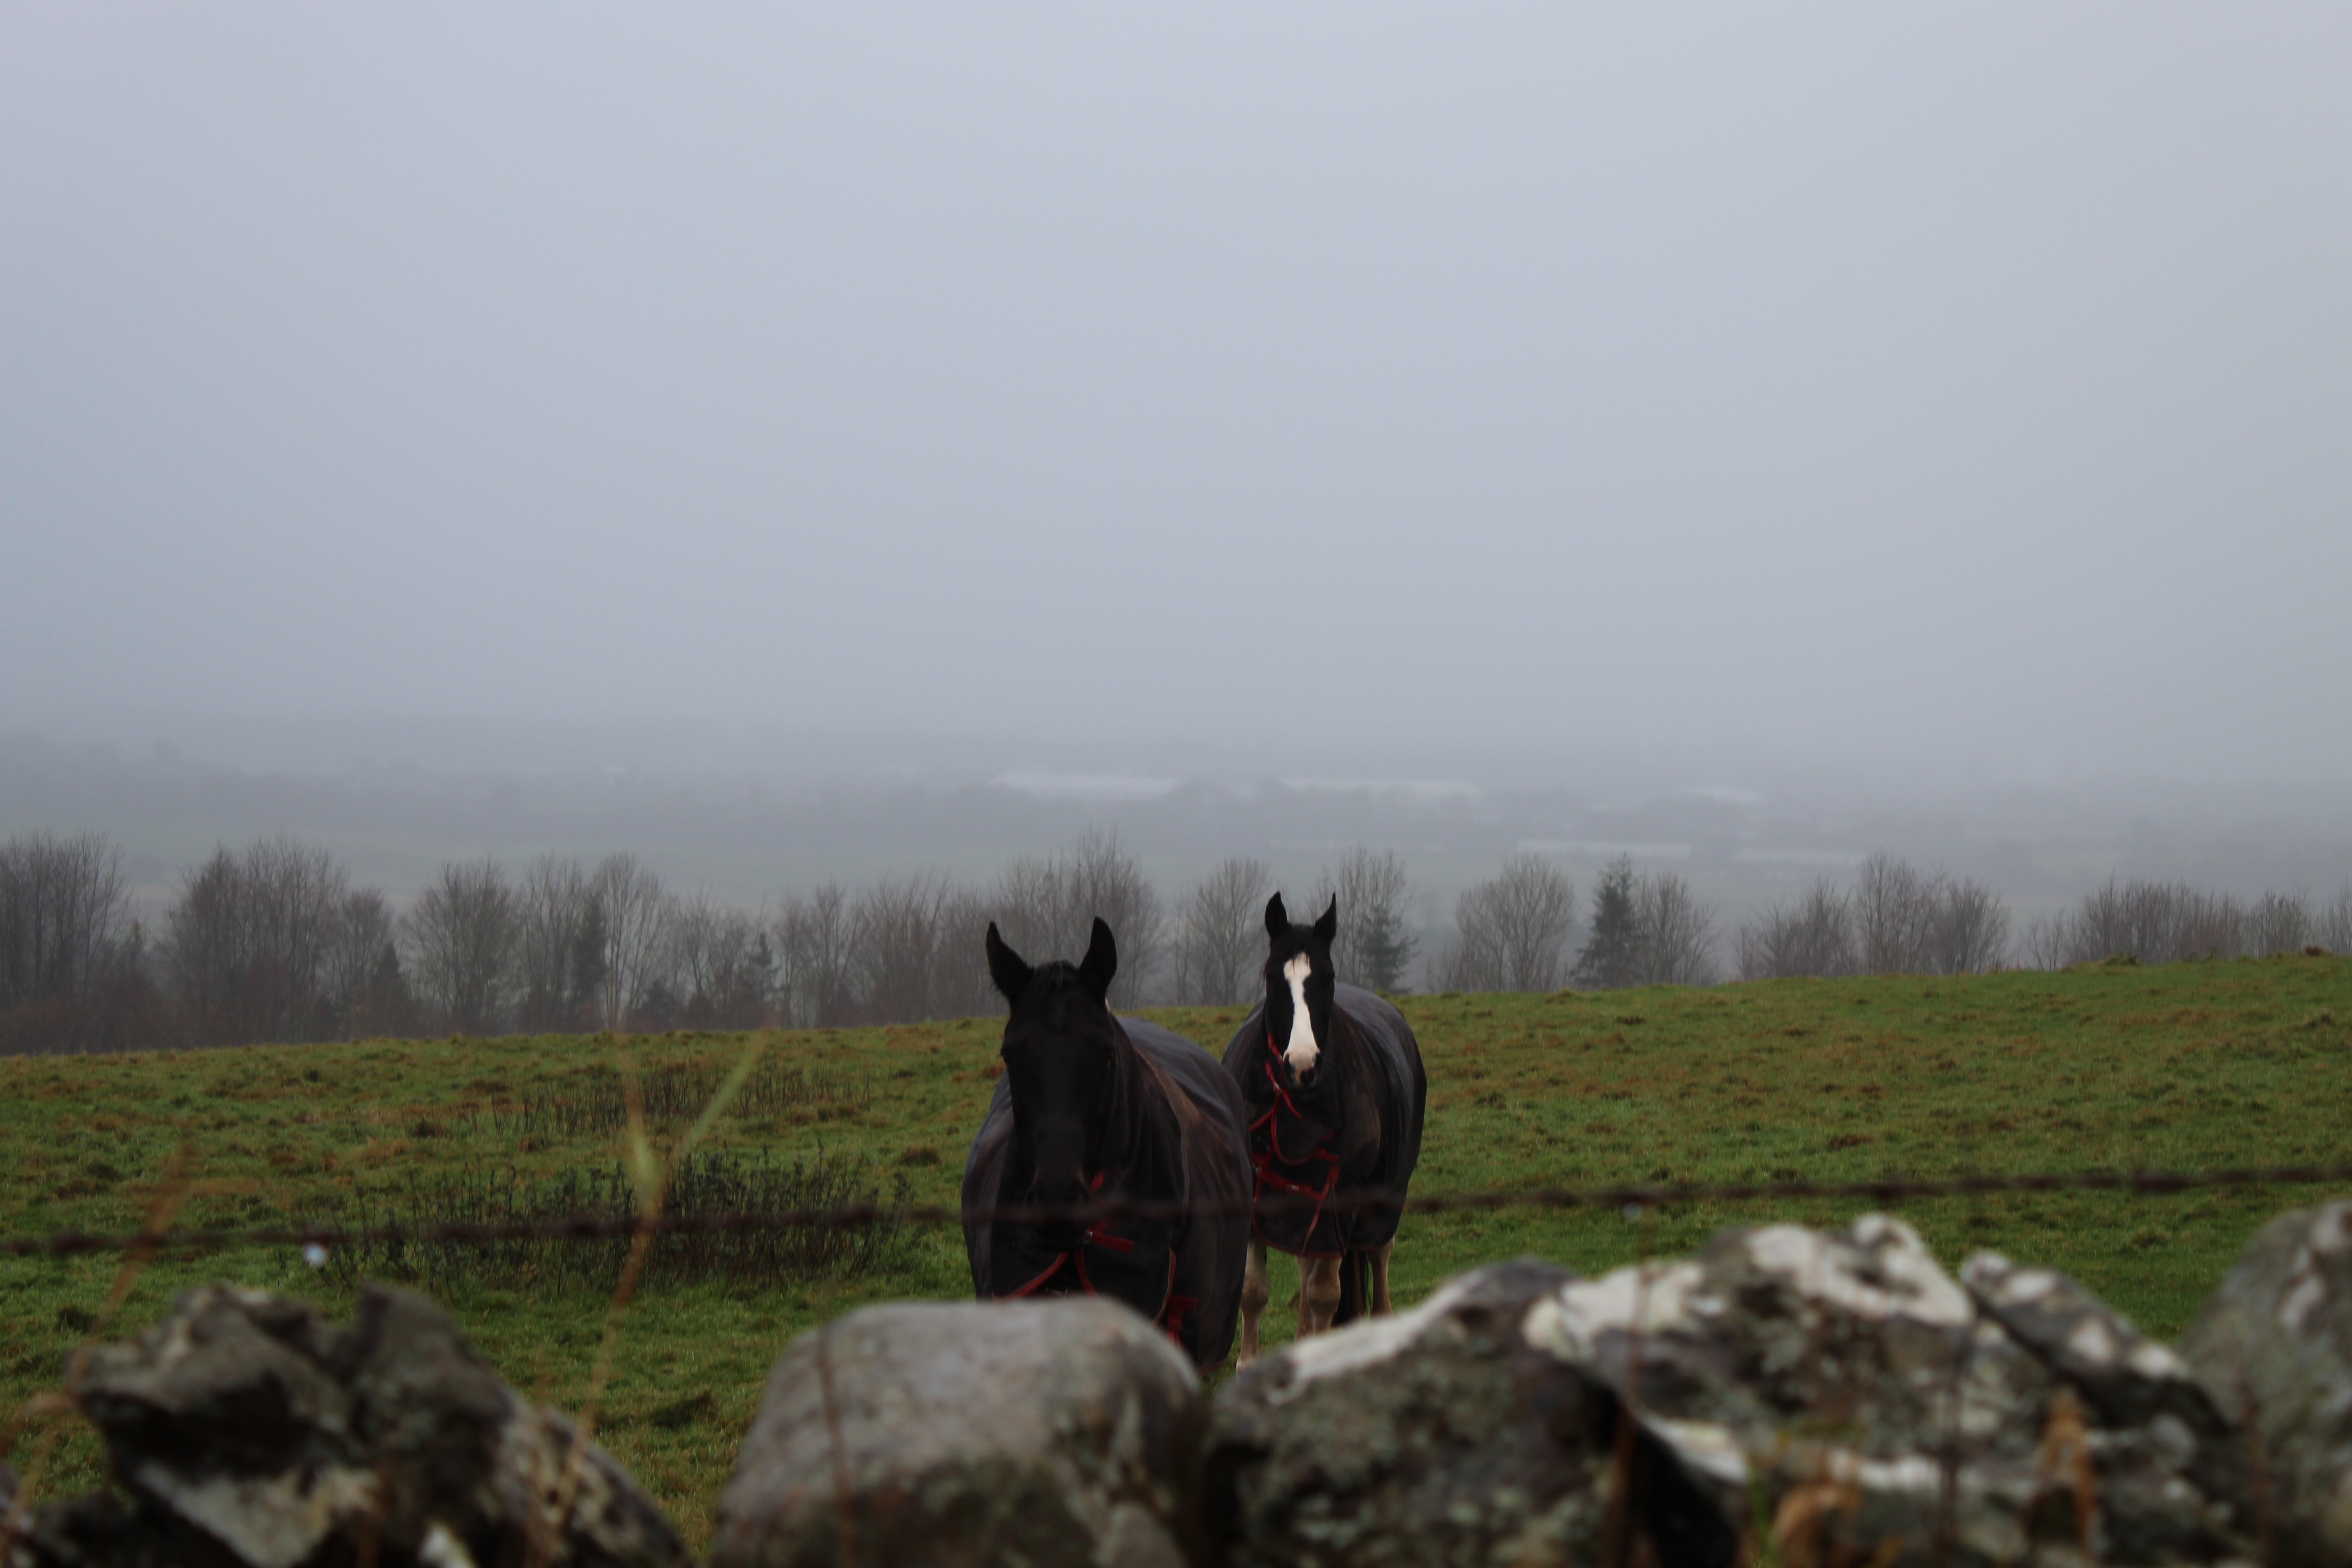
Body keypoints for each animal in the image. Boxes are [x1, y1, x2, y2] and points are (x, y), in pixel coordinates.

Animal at [1223, 893, 1421, 1363]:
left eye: (1327, 977)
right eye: (1272, 977)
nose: (1301, 1065)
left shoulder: (1339, 1198)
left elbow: (1326, 1296)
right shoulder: (1262, 1195)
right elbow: (1254, 1292)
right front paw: (1249, 1363)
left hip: (1383, 1198)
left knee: (1377, 1257)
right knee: (1306, 1266)